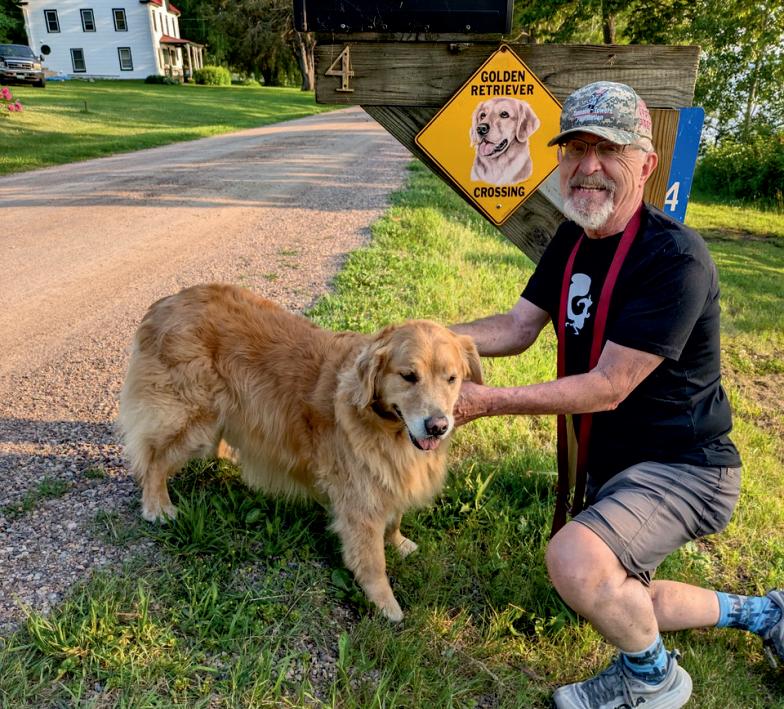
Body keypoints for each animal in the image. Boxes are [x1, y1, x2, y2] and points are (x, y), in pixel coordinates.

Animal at [118, 283, 483, 621]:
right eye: (408, 376)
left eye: (452, 379)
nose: (437, 426)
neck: (385, 426)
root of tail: (167, 302)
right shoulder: (360, 499)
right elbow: (372, 561)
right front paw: (385, 603)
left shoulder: (389, 476)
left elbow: (394, 519)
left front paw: (400, 542)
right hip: (193, 419)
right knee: (154, 461)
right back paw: (158, 506)